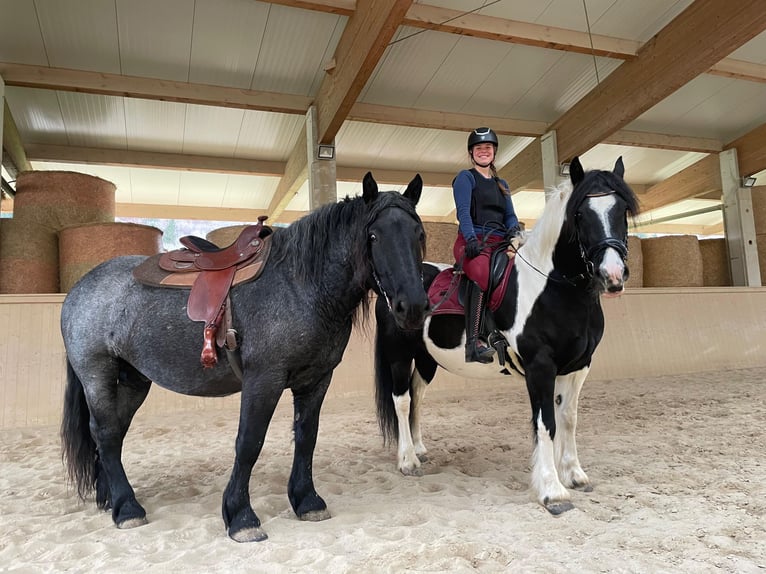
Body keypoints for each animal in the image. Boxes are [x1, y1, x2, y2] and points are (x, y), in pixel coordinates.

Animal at [60, 172, 432, 544]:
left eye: (419, 233)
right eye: (374, 235)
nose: (412, 307)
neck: (299, 285)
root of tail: (79, 288)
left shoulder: (316, 380)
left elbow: (306, 437)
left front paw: (307, 500)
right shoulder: (263, 381)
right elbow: (249, 443)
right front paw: (240, 516)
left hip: (134, 379)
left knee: (113, 432)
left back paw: (110, 498)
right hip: (97, 375)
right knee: (106, 432)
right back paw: (127, 508)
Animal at [376, 159, 640, 516]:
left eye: (622, 209)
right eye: (580, 214)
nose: (612, 275)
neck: (554, 289)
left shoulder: (578, 366)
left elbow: (568, 418)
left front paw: (574, 475)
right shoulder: (540, 367)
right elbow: (545, 423)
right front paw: (552, 491)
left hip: (427, 358)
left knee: (417, 396)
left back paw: (419, 449)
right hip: (399, 355)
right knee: (402, 400)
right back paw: (407, 460)